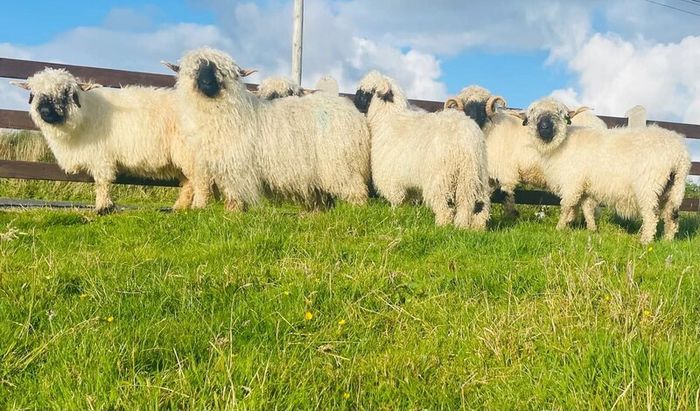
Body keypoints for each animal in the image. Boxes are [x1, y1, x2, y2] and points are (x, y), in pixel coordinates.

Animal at [12, 68, 197, 214]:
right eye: (33, 94)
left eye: (66, 92)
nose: (45, 111)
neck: (84, 115)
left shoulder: (100, 156)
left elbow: (102, 182)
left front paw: (103, 208)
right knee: (189, 182)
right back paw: (180, 207)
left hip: (189, 151)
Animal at [164, 47, 371, 211]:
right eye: (196, 69)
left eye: (220, 71)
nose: (207, 83)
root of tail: (354, 113)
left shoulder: (236, 166)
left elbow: (234, 194)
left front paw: (233, 214)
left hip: (341, 164)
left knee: (356, 191)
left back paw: (355, 212)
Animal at [355, 71, 490, 230]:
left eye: (362, 92)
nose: (355, 103)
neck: (387, 118)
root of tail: (468, 140)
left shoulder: (391, 179)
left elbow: (396, 201)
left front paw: (394, 216)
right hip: (474, 175)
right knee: (476, 205)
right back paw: (469, 228)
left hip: (443, 177)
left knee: (446, 206)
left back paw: (442, 226)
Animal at [444, 86, 605, 224]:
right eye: (465, 103)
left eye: (483, 104)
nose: (472, 118)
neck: (489, 130)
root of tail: (599, 122)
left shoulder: (504, 171)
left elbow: (505, 194)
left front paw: (511, 215)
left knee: (588, 204)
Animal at [509, 97, 690, 244]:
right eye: (533, 113)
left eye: (560, 113)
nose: (545, 128)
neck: (562, 144)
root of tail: (679, 154)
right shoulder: (585, 186)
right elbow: (587, 208)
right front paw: (590, 230)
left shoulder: (572, 182)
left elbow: (567, 206)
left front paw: (560, 228)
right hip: (673, 188)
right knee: (672, 216)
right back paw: (667, 241)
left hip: (649, 186)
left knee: (652, 216)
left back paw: (645, 241)